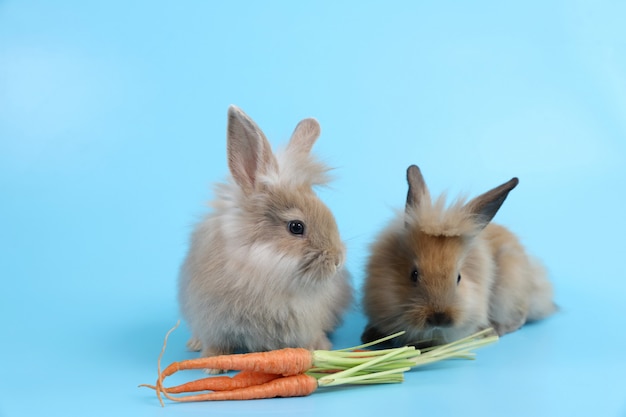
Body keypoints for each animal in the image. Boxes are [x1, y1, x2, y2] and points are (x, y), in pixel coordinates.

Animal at [177, 105, 352, 370]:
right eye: (296, 227)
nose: (337, 261)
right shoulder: (213, 323)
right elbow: (217, 345)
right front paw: (212, 365)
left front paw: (320, 350)